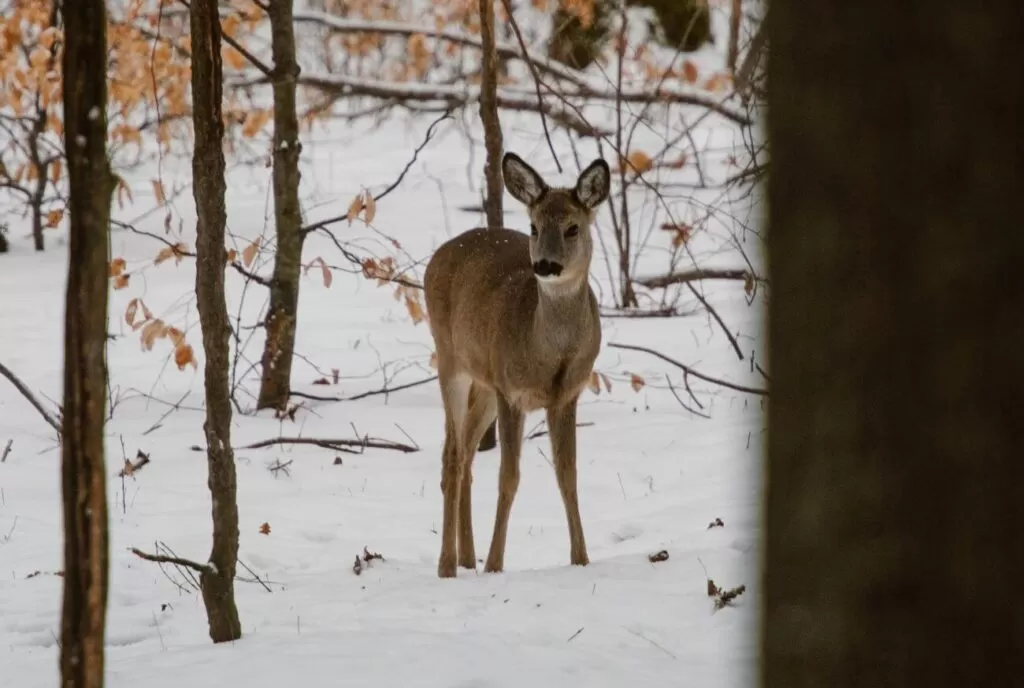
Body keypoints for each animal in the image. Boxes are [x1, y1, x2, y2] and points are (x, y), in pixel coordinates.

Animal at [421, 153, 606, 577]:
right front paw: (494, 565)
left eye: (573, 227)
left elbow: (568, 475)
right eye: (534, 227)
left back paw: (466, 557)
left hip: (486, 381)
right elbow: (509, 477)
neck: (550, 355)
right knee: (452, 456)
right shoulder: (512, 393)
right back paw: (448, 565)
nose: (545, 265)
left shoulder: (566, 395)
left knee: (466, 452)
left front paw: (581, 559)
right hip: (450, 358)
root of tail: (438, 255)